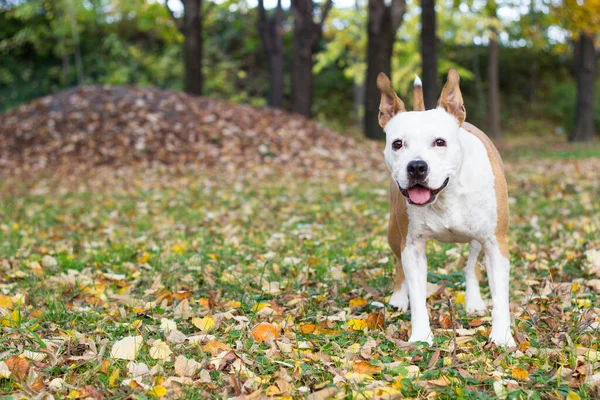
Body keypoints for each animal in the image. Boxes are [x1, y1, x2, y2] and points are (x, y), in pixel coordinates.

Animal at [380, 69, 516, 346]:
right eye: (397, 144)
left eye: (439, 142)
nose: (416, 166)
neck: (447, 193)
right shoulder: (412, 247)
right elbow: (417, 296)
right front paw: (421, 336)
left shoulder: (496, 243)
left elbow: (500, 297)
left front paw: (502, 337)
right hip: (393, 232)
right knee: (398, 263)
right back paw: (399, 297)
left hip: (478, 240)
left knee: (471, 265)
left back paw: (473, 301)